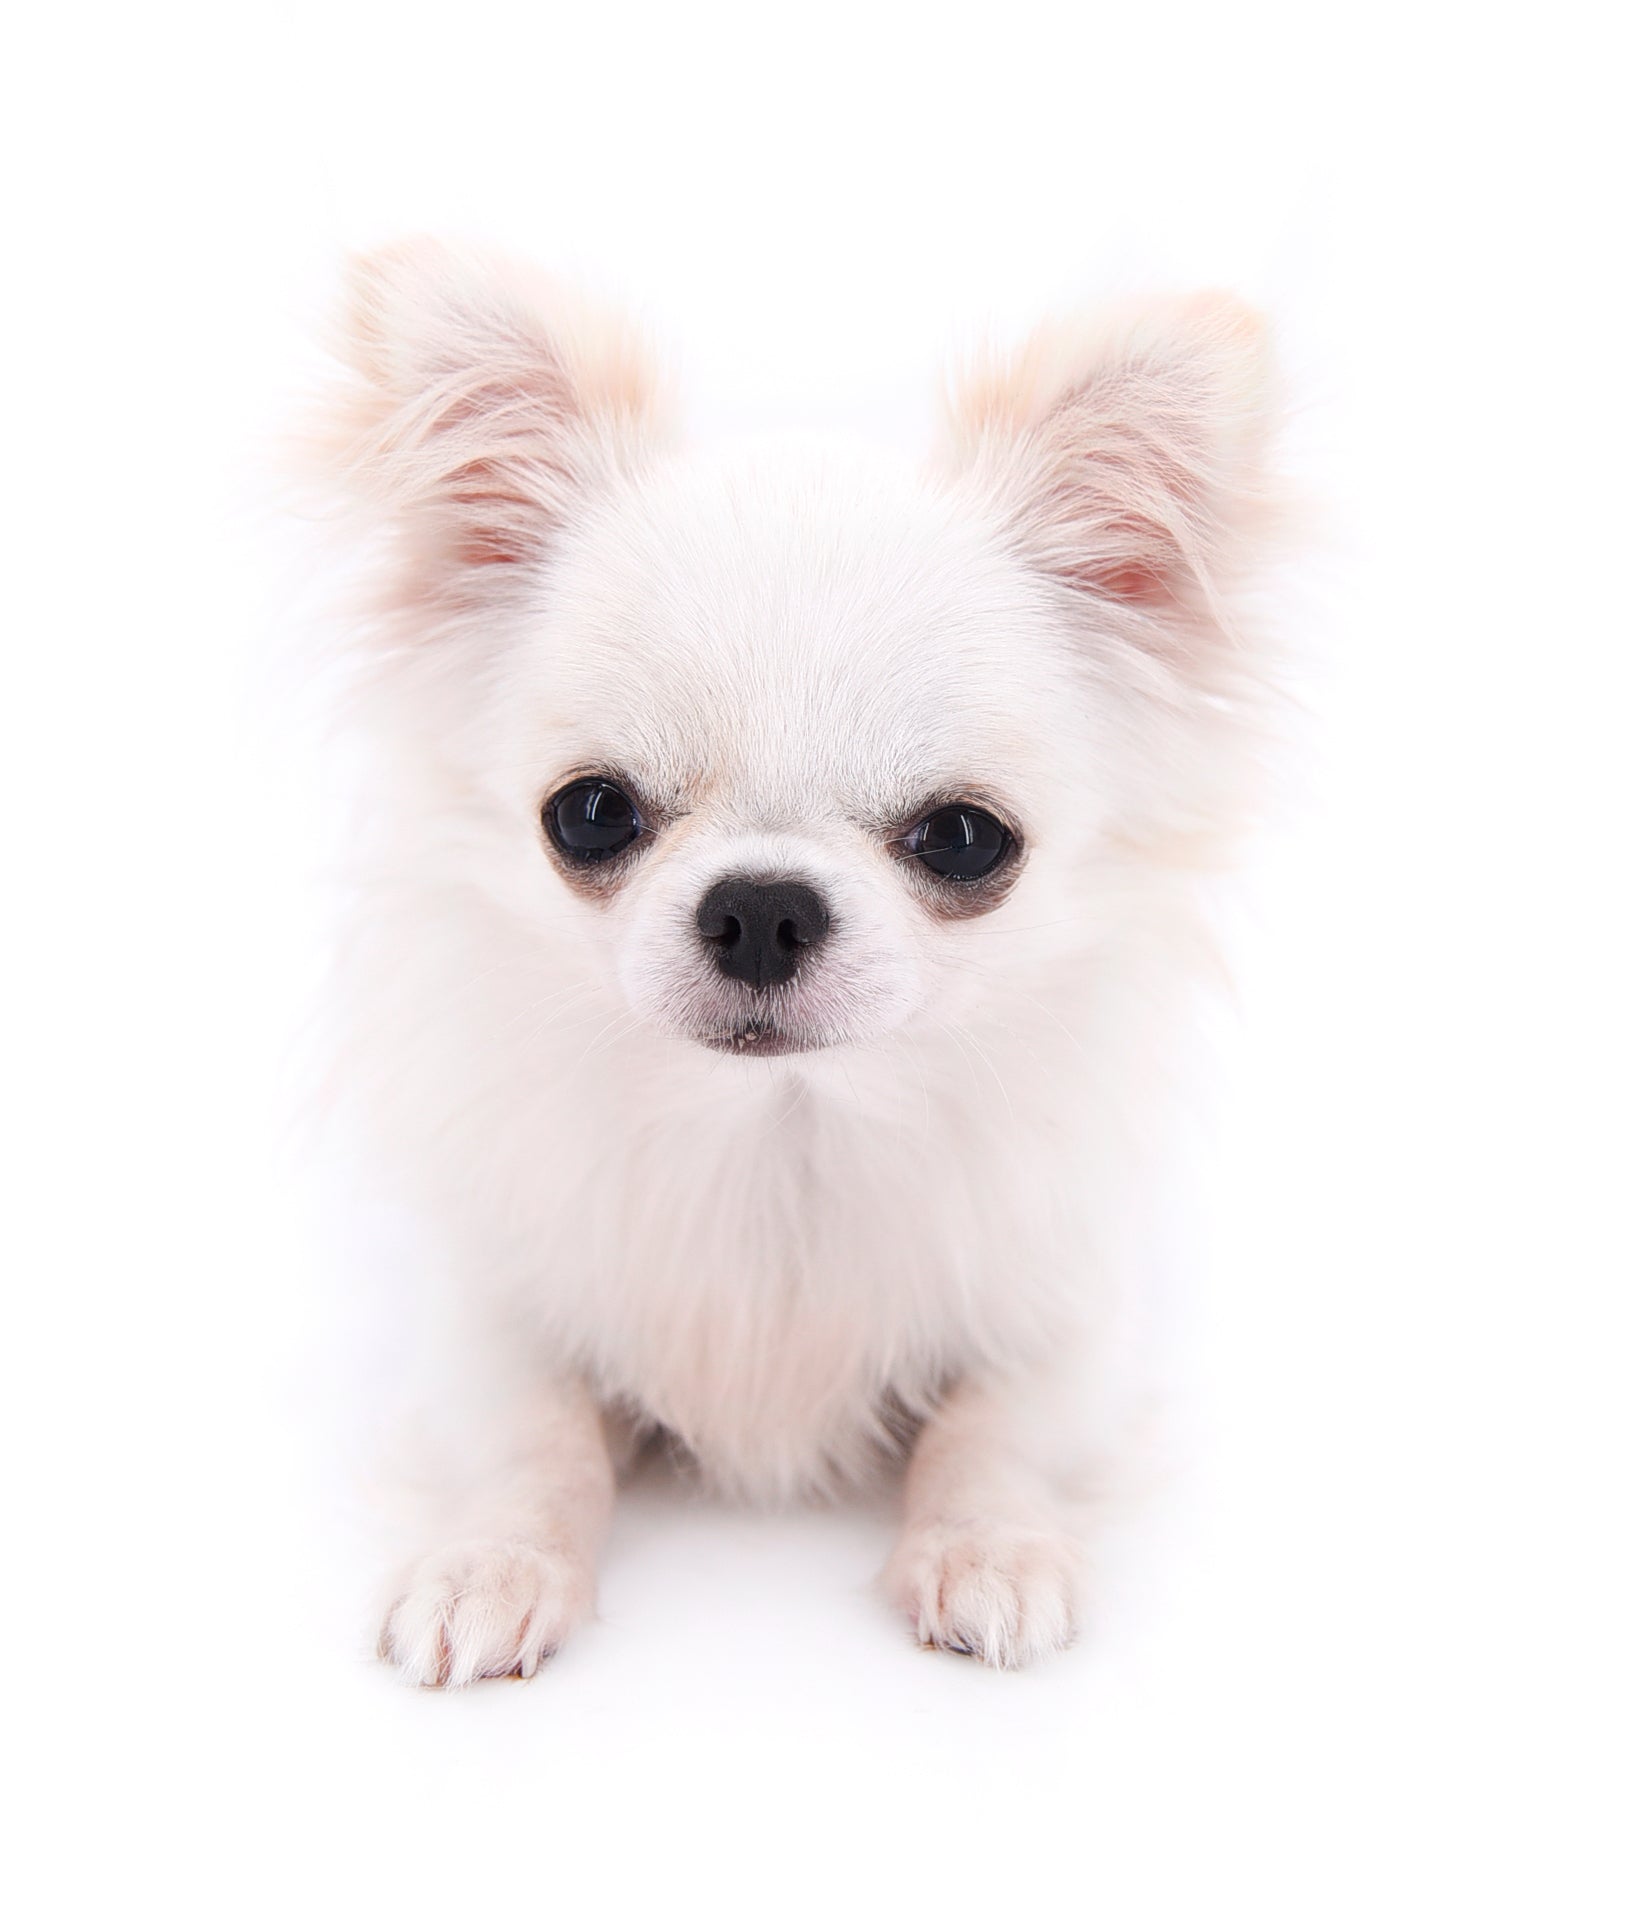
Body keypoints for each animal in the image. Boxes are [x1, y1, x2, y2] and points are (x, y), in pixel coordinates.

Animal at [315, 239, 1278, 1684]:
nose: (761, 907)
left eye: (964, 840)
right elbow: (534, 1438)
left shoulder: (1069, 1320)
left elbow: (992, 1429)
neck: (781, 1129)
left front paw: (987, 1549)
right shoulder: (493, 1313)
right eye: (588, 814)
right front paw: (494, 1562)